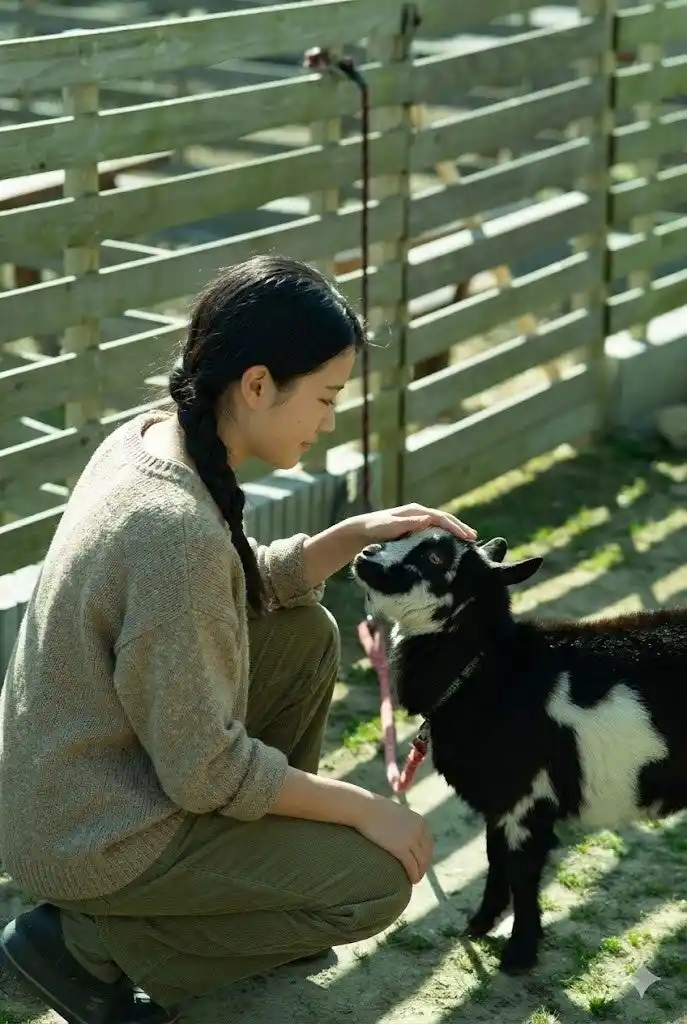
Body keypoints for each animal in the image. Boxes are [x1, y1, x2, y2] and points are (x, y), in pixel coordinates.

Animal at [351, 529, 687, 975]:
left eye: (438, 558)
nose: (365, 554)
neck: (489, 673)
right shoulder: (500, 802)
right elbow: (496, 862)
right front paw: (479, 925)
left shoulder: (529, 799)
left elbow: (523, 875)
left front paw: (518, 955)